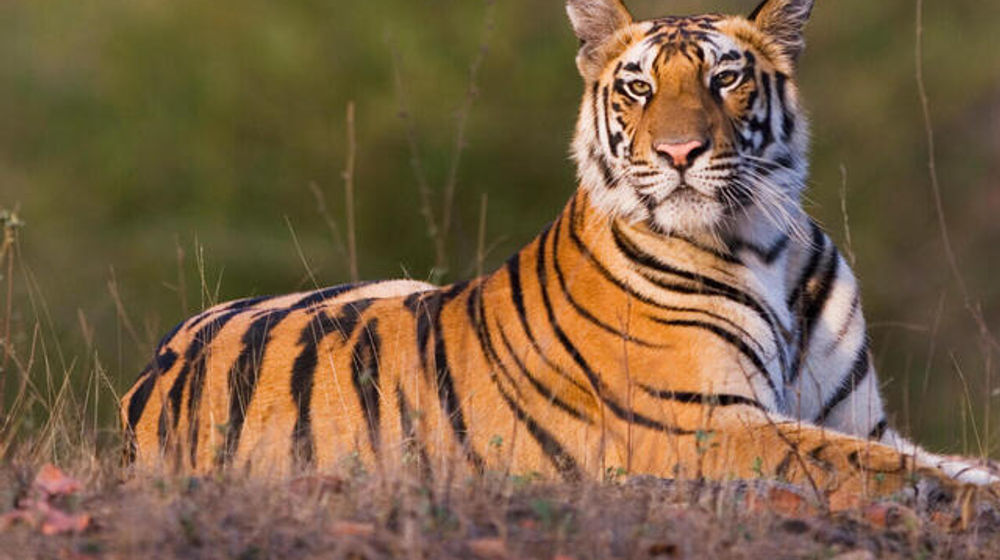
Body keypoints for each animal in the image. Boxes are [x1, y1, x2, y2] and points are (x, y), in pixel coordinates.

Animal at [121, 0, 999, 510]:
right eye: (639, 88)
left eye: (726, 79)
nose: (679, 152)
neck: (764, 241)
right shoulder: (703, 425)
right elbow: (876, 468)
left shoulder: (860, 417)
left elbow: (935, 458)